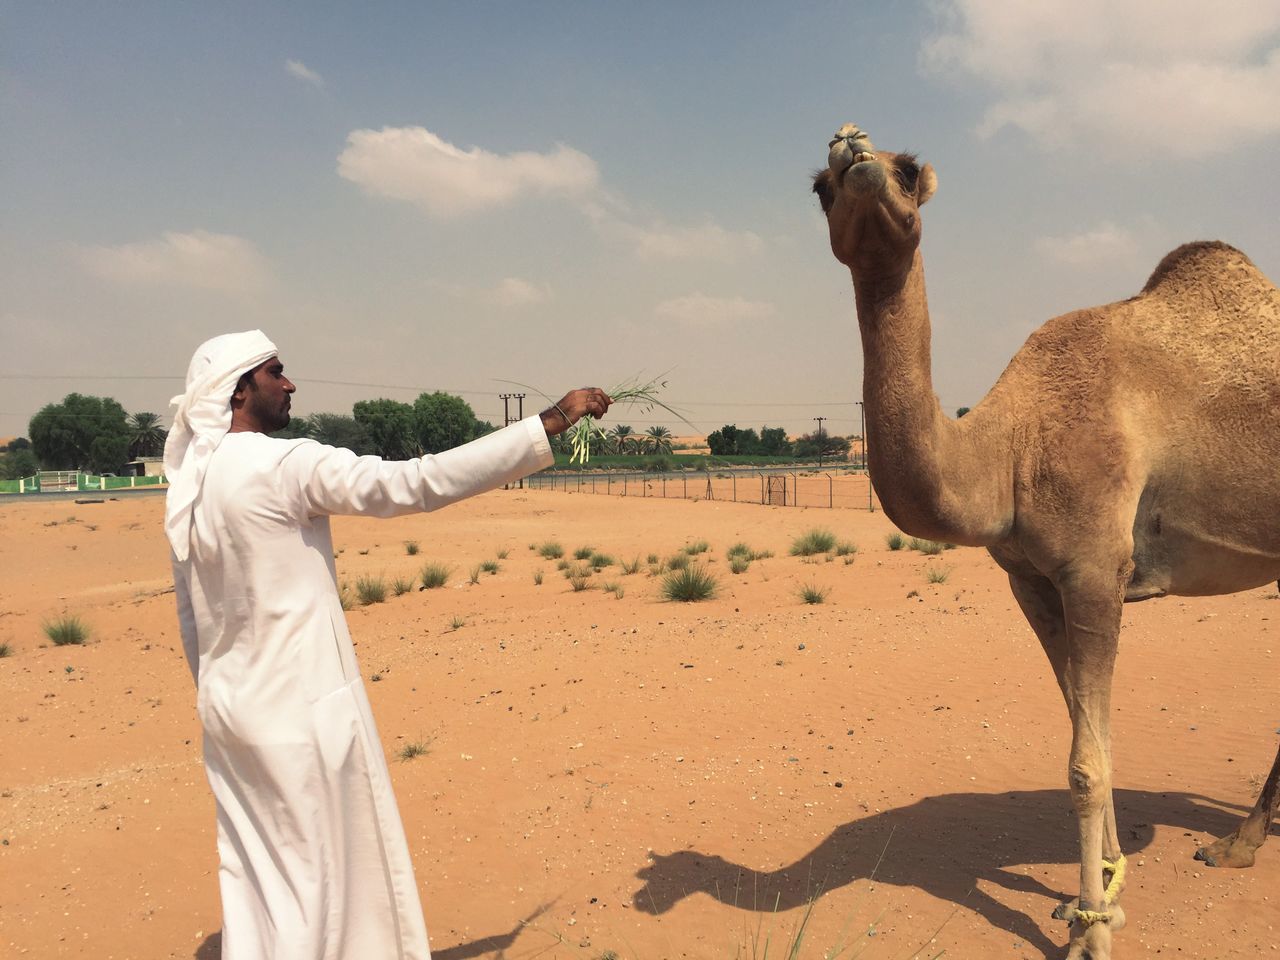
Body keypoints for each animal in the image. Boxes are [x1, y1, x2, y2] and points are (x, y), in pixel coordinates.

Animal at [814, 122, 1274, 960]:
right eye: (820, 186)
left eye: (907, 168)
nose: (852, 147)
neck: (1008, 449)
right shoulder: (1030, 580)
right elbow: (1084, 734)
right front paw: (1109, 885)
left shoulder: (1095, 566)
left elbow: (1086, 764)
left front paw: (1093, 931)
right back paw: (1239, 842)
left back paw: (1235, 844)